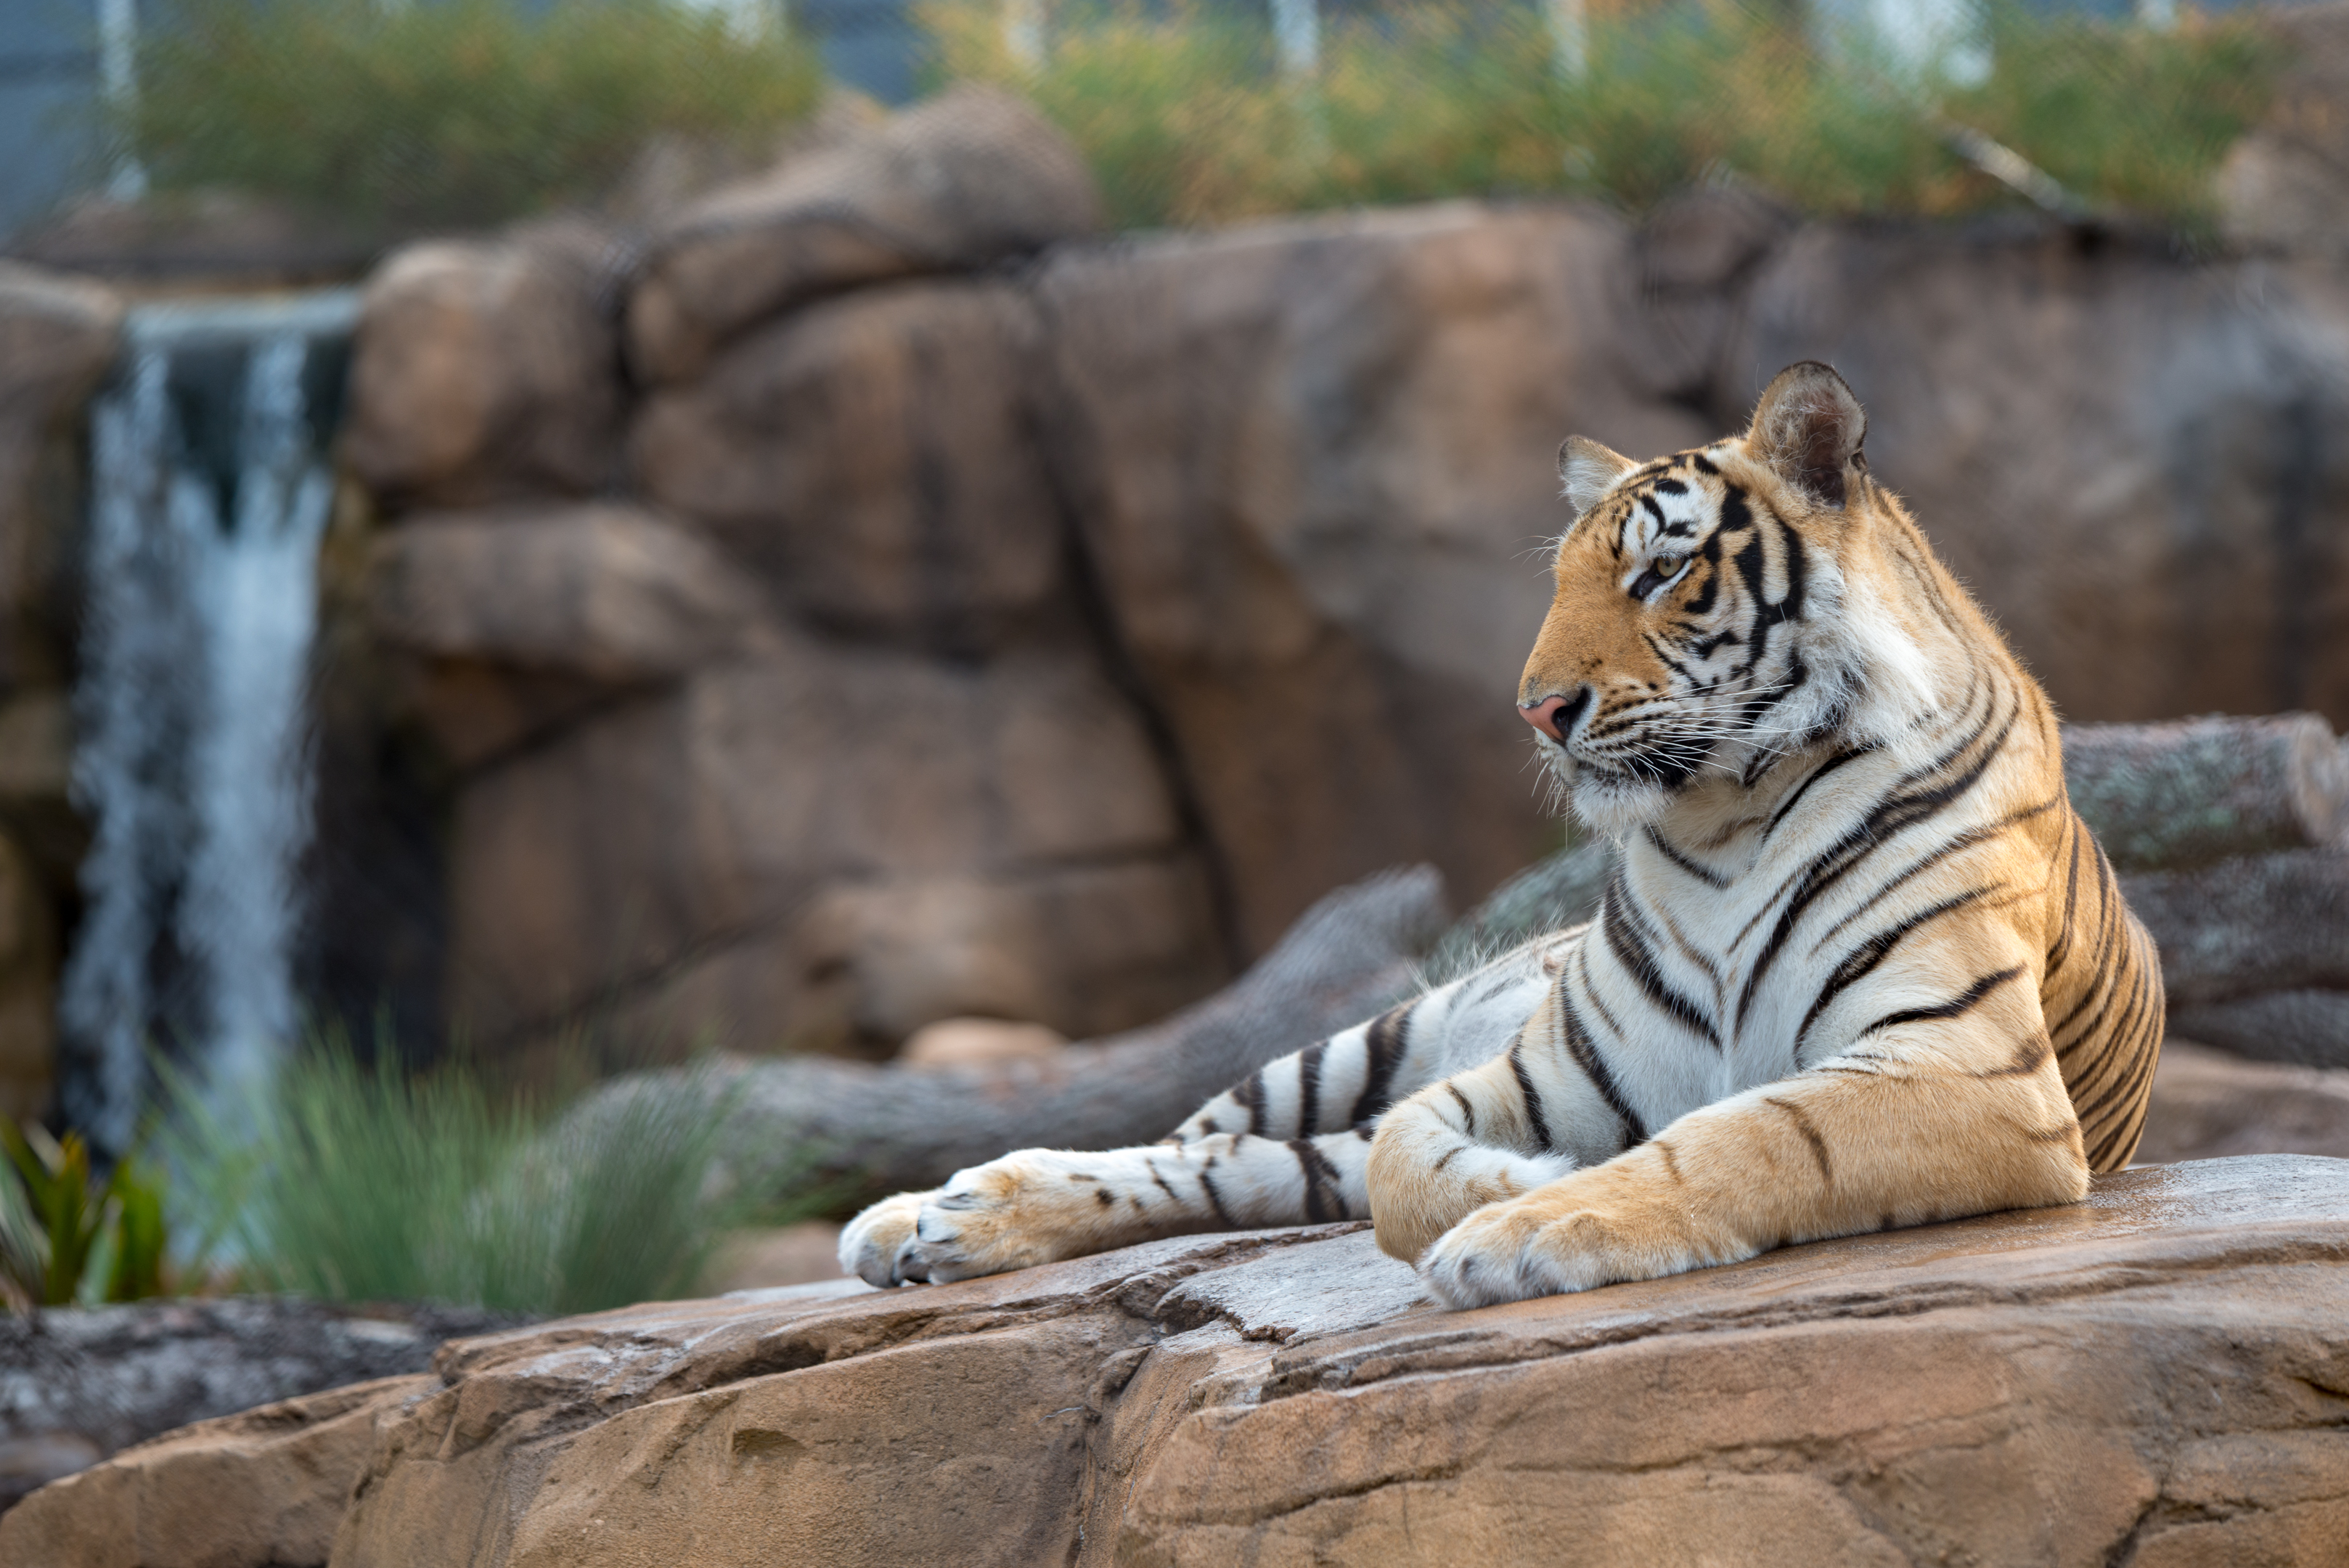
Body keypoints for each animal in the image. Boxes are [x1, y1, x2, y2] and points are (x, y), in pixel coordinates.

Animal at [839, 361, 2165, 1308]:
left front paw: (1536, 1222)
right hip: (1361, 1042)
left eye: (1660, 574)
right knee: (1206, 1141)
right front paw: (1526, 1183)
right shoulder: (1535, 1075)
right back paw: (927, 1215)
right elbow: (1402, 1160)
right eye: (1562, 582)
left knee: (1264, 1168)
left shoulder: (1965, 1064)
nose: (1537, 707)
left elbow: (1748, 1136)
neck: (1726, 819)